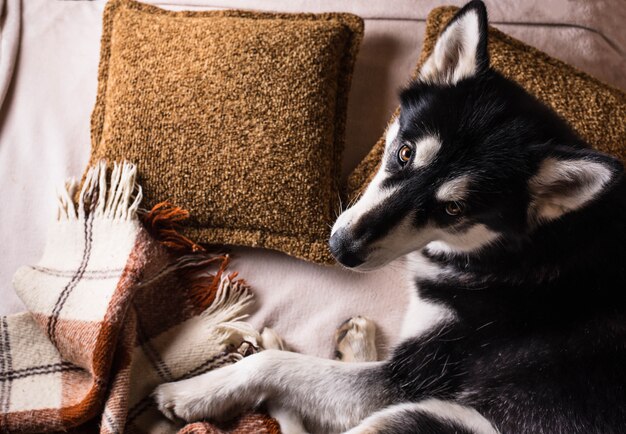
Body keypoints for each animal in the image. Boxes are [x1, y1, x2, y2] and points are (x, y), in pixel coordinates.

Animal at [152, 1, 624, 432]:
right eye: (406, 153)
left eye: (453, 208)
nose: (341, 250)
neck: (517, 251)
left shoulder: (412, 379)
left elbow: (275, 367)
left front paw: (194, 393)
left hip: (430, 416)